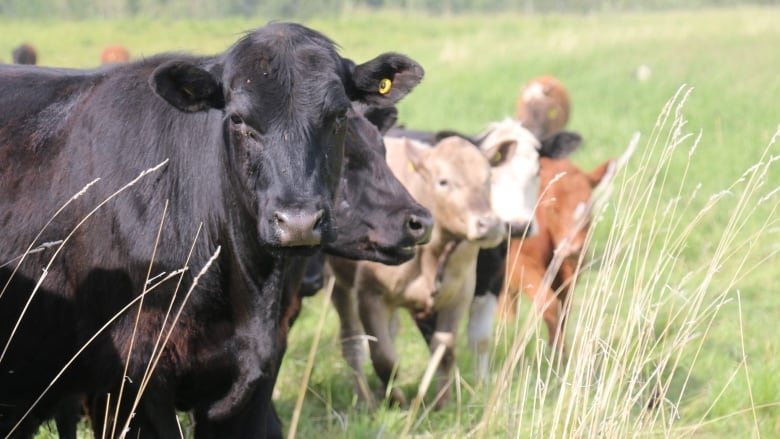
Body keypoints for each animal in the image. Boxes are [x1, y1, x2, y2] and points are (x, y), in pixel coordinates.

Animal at [328, 136, 500, 410]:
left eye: (488, 179)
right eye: (443, 181)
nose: (489, 225)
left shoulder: (459, 295)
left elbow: (445, 350)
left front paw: (442, 403)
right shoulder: (370, 295)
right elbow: (384, 358)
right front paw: (396, 398)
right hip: (338, 284)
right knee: (352, 341)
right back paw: (366, 400)